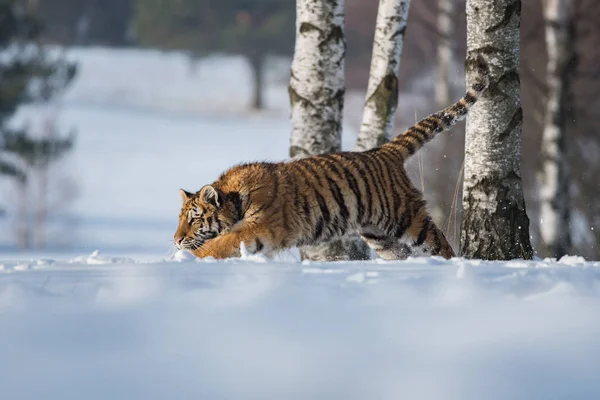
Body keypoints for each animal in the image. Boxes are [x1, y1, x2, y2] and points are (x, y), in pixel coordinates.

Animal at [175, 55, 492, 260]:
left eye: (194, 219)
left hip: (408, 219)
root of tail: (385, 151)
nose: (177, 240)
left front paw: (190, 258)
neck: (235, 200)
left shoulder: (260, 227)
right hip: (381, 237)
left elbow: (222, 242)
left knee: (442, 247)